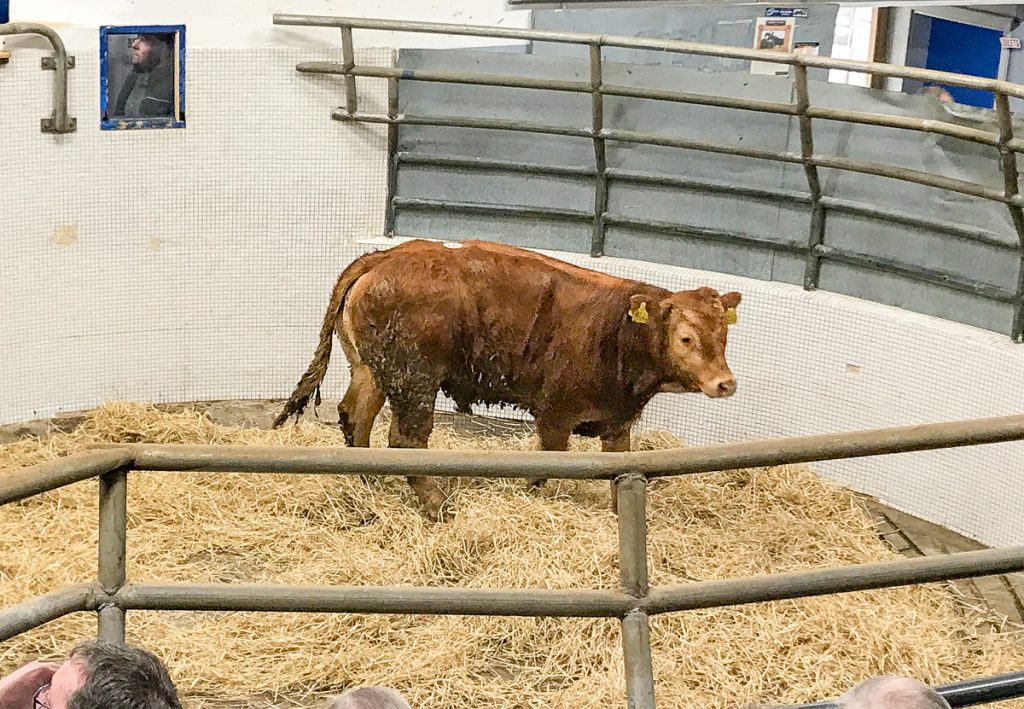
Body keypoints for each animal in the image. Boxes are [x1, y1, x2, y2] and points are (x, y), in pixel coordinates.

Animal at [273, 239, 741, 520]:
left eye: (723, 333)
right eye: (685, 337)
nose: (725, 383)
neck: (617, 330)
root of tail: (386, 255)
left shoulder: (617, 423)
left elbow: (618, 476)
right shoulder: (555, 415)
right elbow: (544, 467)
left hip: (374, 370)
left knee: (356, 416)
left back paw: (368, 483)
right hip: (414, 381)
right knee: (405, 439)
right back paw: (436, 506)